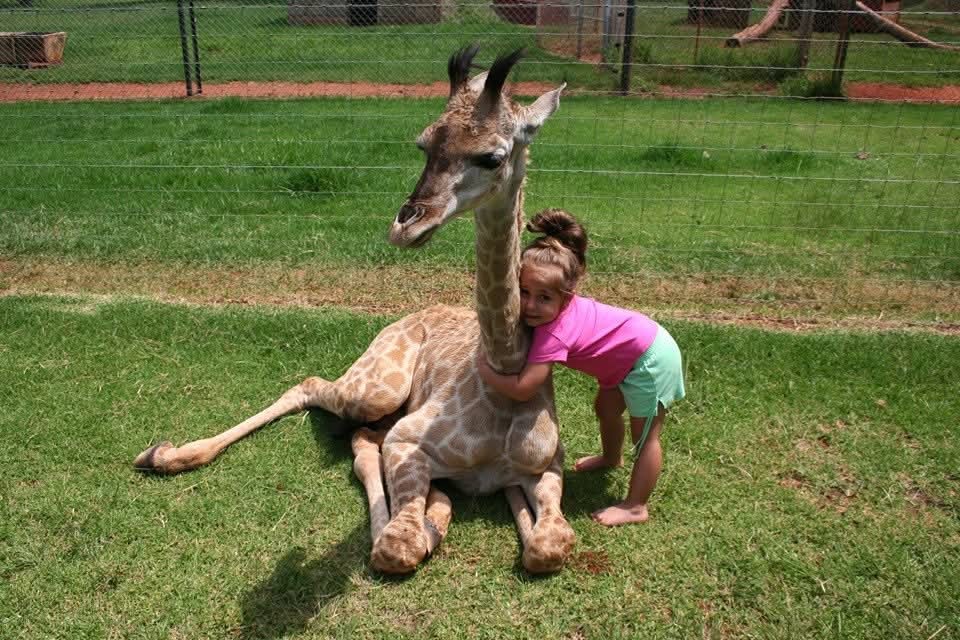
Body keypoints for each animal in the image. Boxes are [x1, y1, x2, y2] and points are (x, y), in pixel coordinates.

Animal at [133, 45, 575, 574]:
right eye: (423, 143)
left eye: (492, 157)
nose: (405, 225)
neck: (506, 374)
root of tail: (407, 317)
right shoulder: (406, 443)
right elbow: (397, 545)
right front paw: (425, 518)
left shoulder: (549, 465)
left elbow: (549, 545)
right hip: (378, 389)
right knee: (317, 393)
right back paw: (164, 455)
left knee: (362, 435)